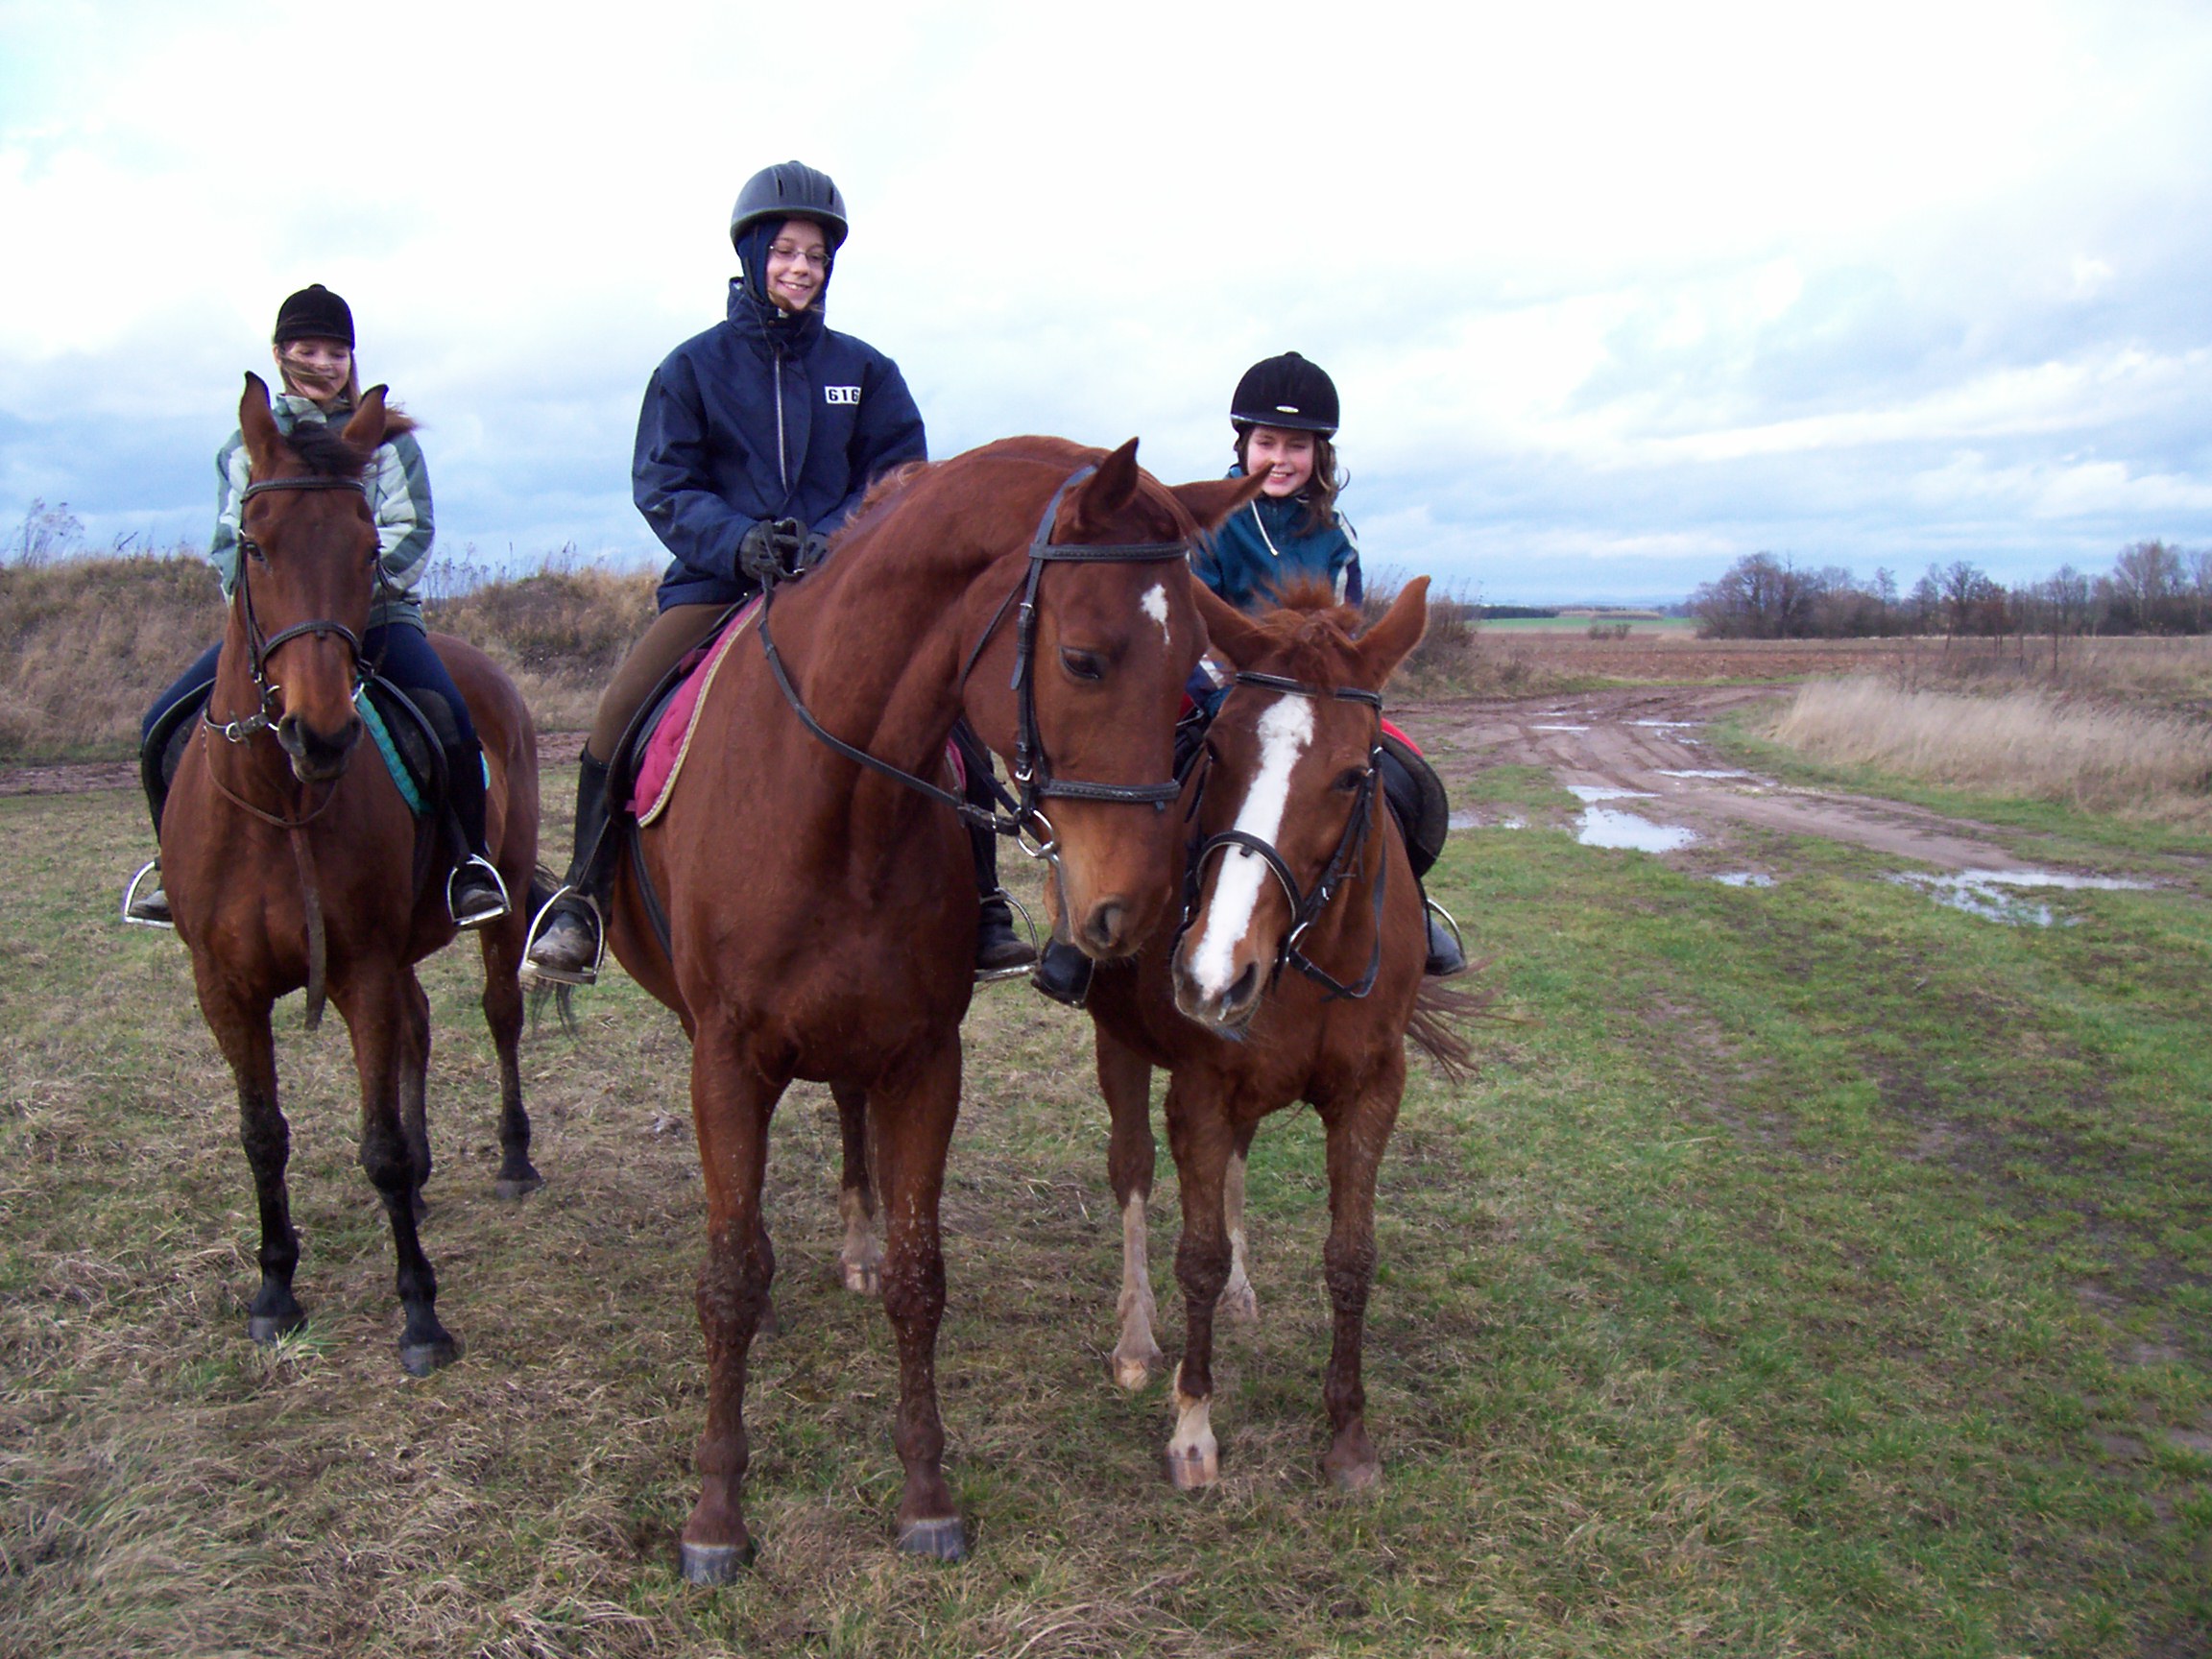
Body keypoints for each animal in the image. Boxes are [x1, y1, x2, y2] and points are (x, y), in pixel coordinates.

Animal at [162, 373, 543, 1380]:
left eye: (371, 547)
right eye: (254, 544)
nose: (322, 731)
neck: (278, 803)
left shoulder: (361, 969)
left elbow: (375, 1147)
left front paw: (419, 1313)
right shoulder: (224, 988)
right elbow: (263, 1137)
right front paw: (274, 1292)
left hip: (495, 907)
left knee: (497, 1016)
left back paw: (512, 1161)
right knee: (419, 1025)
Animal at [606, 435, 1264, 1575]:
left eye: (1195, 665)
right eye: (1083, 660)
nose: (1133, 911)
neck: (832, 804)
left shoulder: (923, 1057)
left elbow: (922, 1276)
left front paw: (925, 1495)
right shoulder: (726, 1057)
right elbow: (729, 1279)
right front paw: (716, 1517)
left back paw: (855, 1247)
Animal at [1083, 579, 1478, 1495]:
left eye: (1352, 774)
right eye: (1217, 752)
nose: (1212, 974)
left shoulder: (1372, 1092)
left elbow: (1352, 1255)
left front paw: (1350, 1437)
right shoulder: (1198, 1092)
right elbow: (1193, 1253)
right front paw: (1193, 1428)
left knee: (1236, 1161)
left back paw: (1241, 1295)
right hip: (1119, 1046)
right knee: (1131, 1172)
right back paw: (1135, 1338)